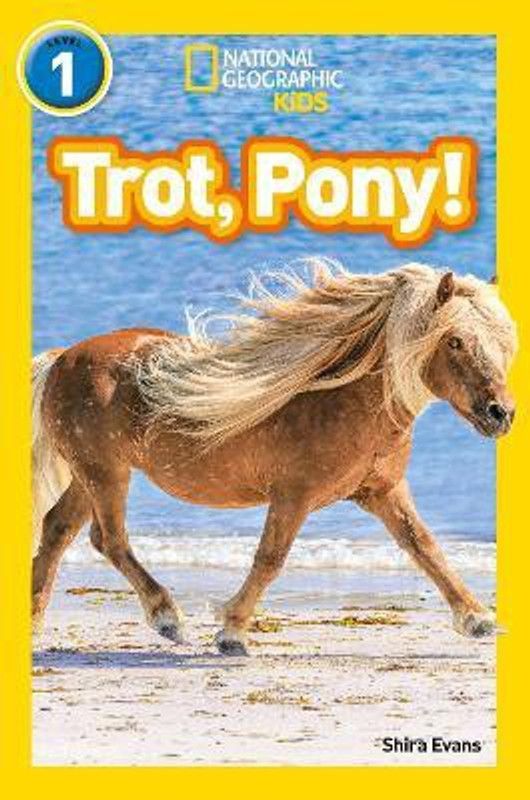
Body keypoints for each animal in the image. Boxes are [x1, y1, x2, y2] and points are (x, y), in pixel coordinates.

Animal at [32, 260, 517, 655]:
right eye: (455, 341)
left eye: (502, 343)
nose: (502, 413)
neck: (341, 397)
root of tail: (62, 358)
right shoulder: (293, 496)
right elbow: (270, 559)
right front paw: (231, 632)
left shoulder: (383, 491)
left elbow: (425, 547)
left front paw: (477, 619)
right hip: (106, 473)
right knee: (109, 540)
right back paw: (168, 619)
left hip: (91, 475)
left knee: (58, 529)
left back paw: (34, 624)